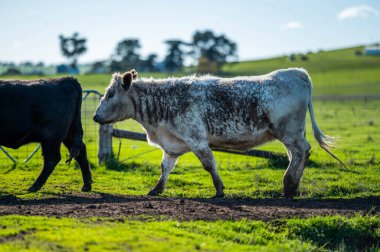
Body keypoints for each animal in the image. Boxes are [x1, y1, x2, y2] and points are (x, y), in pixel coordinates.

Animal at [93, 68, 344, 198]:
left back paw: (289, 185)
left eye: (110, 94)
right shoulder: (172, 145)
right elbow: (165, 168)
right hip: (291, 134)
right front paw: (156, 189)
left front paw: (219, 189)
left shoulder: (197, 139)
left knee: (301, 152)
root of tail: (296, 72)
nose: (95, 117)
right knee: (297, 156)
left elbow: (209, 165)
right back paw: (292, 185)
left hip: (289, 132)